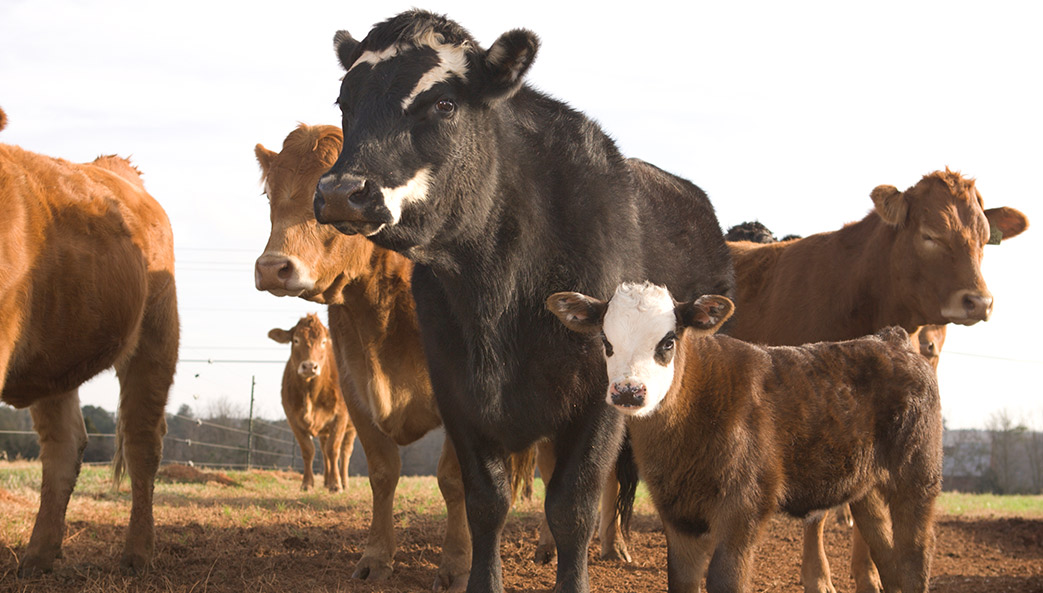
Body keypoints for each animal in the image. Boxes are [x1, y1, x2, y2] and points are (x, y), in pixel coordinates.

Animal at [0, 107, 179, 575]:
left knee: (142, 443)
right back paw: (39, 555)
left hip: (156, 336)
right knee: (65, 446)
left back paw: (137, 553)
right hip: (53, 355)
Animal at [268, 313, 354, 492]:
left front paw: (336, 485)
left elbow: (334, 449)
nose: (309, 366)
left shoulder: (340, 416)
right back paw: (327, 480)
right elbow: (308, 450)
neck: (310, 394)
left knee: (344, 452)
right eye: (296, 340)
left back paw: (343, 482)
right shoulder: (293, 418)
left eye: (323, 341)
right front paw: (307, 483)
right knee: (324, 450)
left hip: (352, 428)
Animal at [311, 11, 735, 593]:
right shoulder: (458, 391)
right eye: (344, 102)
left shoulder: (600, 400)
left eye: (444, 103)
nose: (340, 191)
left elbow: (573, 505)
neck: (500, 292)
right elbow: (486, 501)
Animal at [547, 283, 943, 593]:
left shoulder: (744, 506)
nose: (628, 391)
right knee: (888, 554)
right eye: (606, 340)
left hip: (917, 476)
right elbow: (682, 581)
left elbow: (725, 580)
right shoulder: (677, 512)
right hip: (866, 488)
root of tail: (890, 339)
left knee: (915, 556)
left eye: (668, 341)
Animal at [726, 168, 1027, 593]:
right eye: (930, 235)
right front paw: (819, 578)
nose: (979, 301)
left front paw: (868, 576)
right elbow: (830, 512)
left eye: (984, 239)